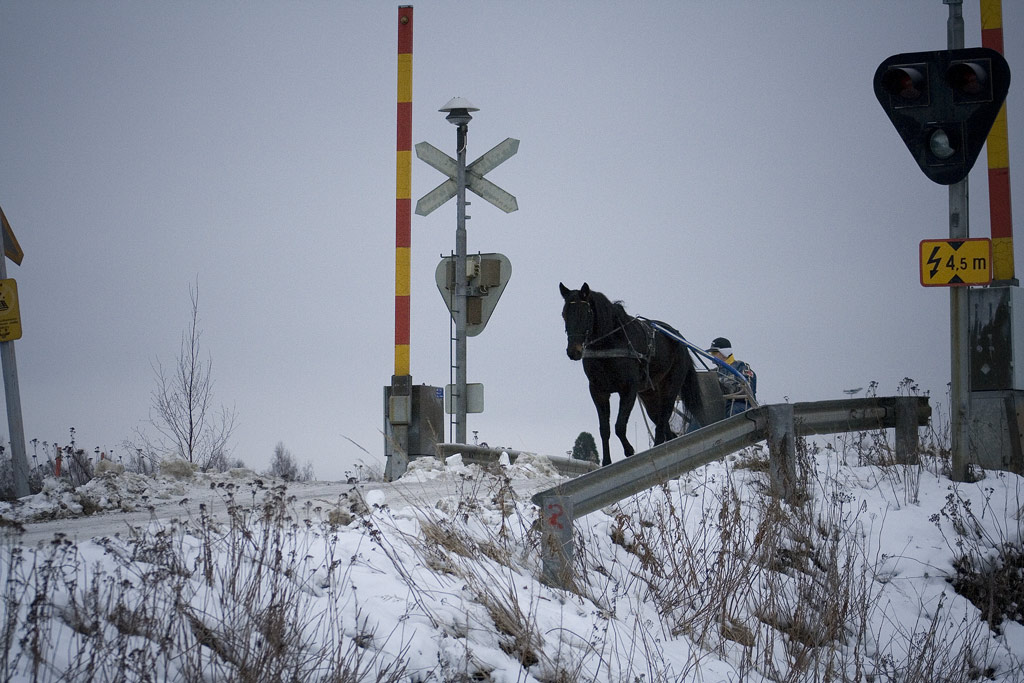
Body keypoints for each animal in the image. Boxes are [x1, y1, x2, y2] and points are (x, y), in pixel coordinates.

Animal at [561, 280, 704, 466]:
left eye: (584, 313)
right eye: (564, 314)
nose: (573, 351)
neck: (609, 345)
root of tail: (679, 338)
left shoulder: (628, 389)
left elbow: (619, 426)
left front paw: (629, 450)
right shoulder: (598, 391)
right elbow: (604, 429)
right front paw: (606, 462)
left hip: (671, 387)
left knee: (662, 421)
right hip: (650, 395)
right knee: (664, 425)